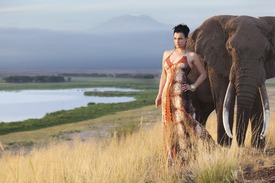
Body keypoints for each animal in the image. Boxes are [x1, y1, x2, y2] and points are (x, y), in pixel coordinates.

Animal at [188, 15, 275, 148]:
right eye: (229, 49)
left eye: (267, 52)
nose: (241, 145)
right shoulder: (215, 59)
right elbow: (223, 97)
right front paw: (224, 147)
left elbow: (258, 100)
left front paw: (258, 147)